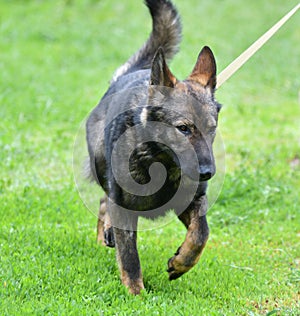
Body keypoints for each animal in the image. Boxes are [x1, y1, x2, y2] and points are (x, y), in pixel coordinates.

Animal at [85, 0, 221, 296]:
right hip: (101, 163)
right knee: (105, 201)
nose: (207, 173)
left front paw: (181, 262)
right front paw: (136, 295)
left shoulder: (192, 202)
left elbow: (201, 233)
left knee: (103, 202)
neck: (161, 161)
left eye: (212, 128)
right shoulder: (124, 209)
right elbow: (130, 257)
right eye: (183, 129)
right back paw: (106, 234)